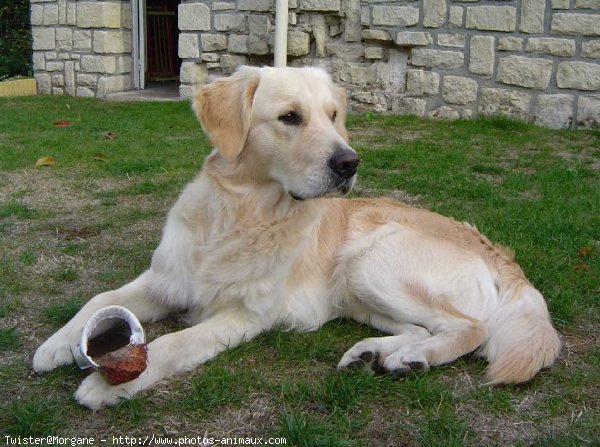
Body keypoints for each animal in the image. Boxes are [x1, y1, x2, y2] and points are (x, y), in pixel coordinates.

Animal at [32, 65, 560, 412]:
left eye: (333, 115)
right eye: (290, 117)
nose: (350, 163)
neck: (240, 213)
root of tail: (499, 252)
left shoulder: (246, 315)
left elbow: (173, 343)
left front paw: (108, 385)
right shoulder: (165, 279)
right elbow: (99, 298)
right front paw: (56, 345)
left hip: (369, 258)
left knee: (472, 328)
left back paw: (412, 358)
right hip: (359, 290)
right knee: (429, 327)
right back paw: (378, 355)